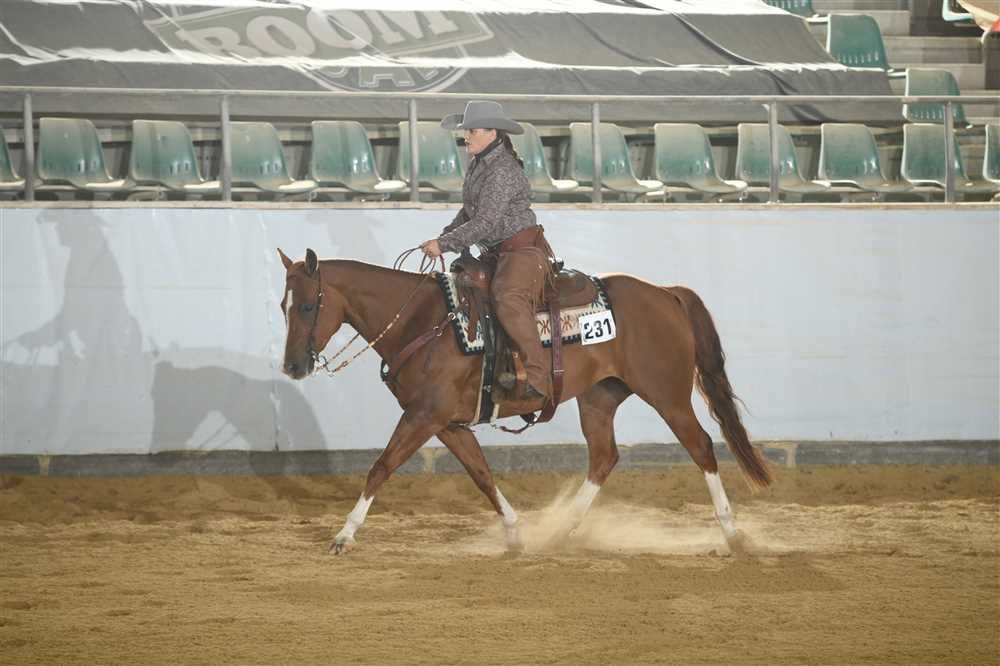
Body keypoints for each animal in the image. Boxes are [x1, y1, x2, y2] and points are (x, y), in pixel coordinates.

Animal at [277, 247, 772, 554]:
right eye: (283, 306)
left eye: (307, 306)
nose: (293, 367)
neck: (422, 321)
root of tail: (667, 293)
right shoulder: (446, 422)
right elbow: (481, 474)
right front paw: (516, 535)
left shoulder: (423, 416)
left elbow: (380, 467)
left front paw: (344, 536)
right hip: (599, 398)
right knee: (604, 458)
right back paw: (562, 532)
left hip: (667, 394)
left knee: (701, 446)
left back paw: (733, 535)